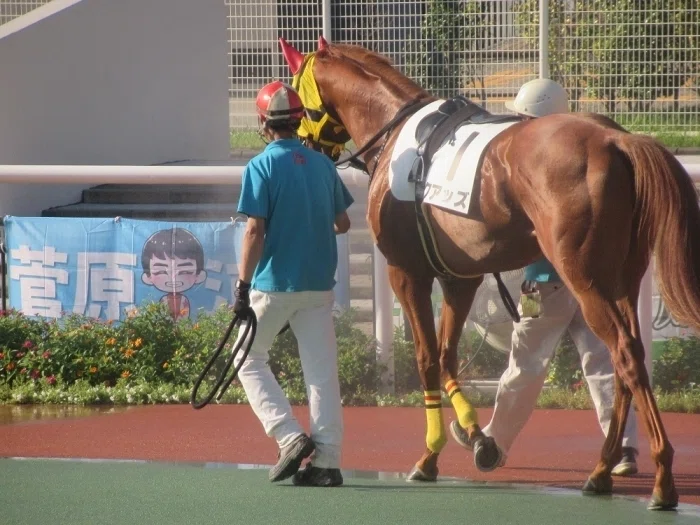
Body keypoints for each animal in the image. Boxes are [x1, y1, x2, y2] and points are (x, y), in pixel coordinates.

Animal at [279, 37, 700, 510]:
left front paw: (431, 453)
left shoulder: (406, 273)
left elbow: (427, 358)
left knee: (625, 356)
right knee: (625, 361)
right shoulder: (460, 278)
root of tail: (617, 140)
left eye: (295, 93)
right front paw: (473, 436)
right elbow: (447, 355)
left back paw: (662, 478)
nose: (303, 146)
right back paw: (601, 470)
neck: (395, 131)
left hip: (587, 280)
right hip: (622, 280)